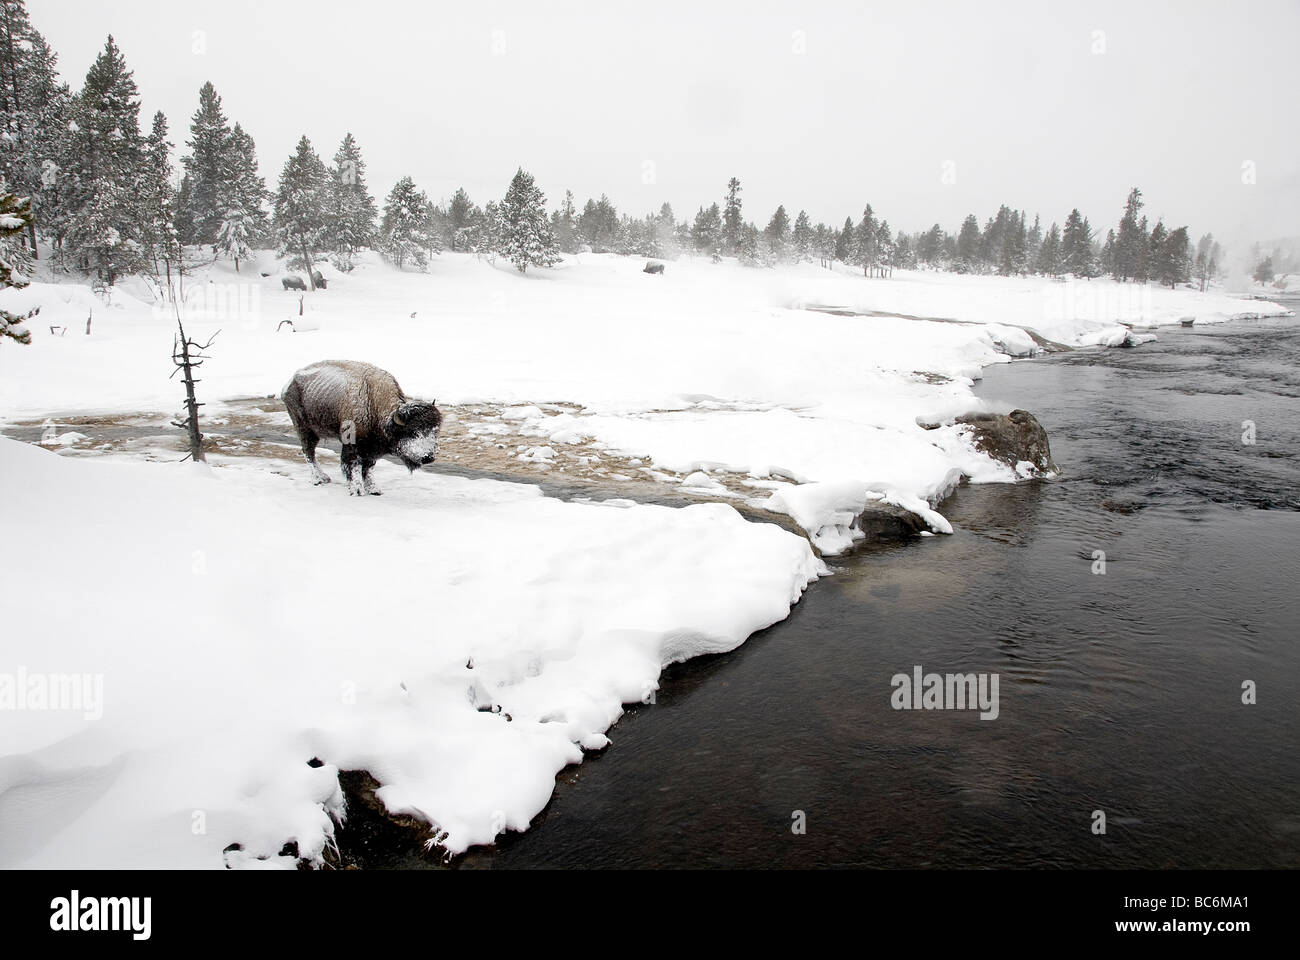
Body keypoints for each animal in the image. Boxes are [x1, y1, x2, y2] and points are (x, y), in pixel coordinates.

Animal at [282, 360, 442, 495]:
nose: (428, 457)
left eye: (435, 431)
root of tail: (289, 383)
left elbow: (368, 468)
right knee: (309, 452)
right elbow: (354, 466)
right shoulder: (352, 445)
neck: (374, 405)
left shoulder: (372, 451)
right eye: (413, 432)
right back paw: (319, 479)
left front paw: (374, 489)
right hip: (305, 429)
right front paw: (357, 490)